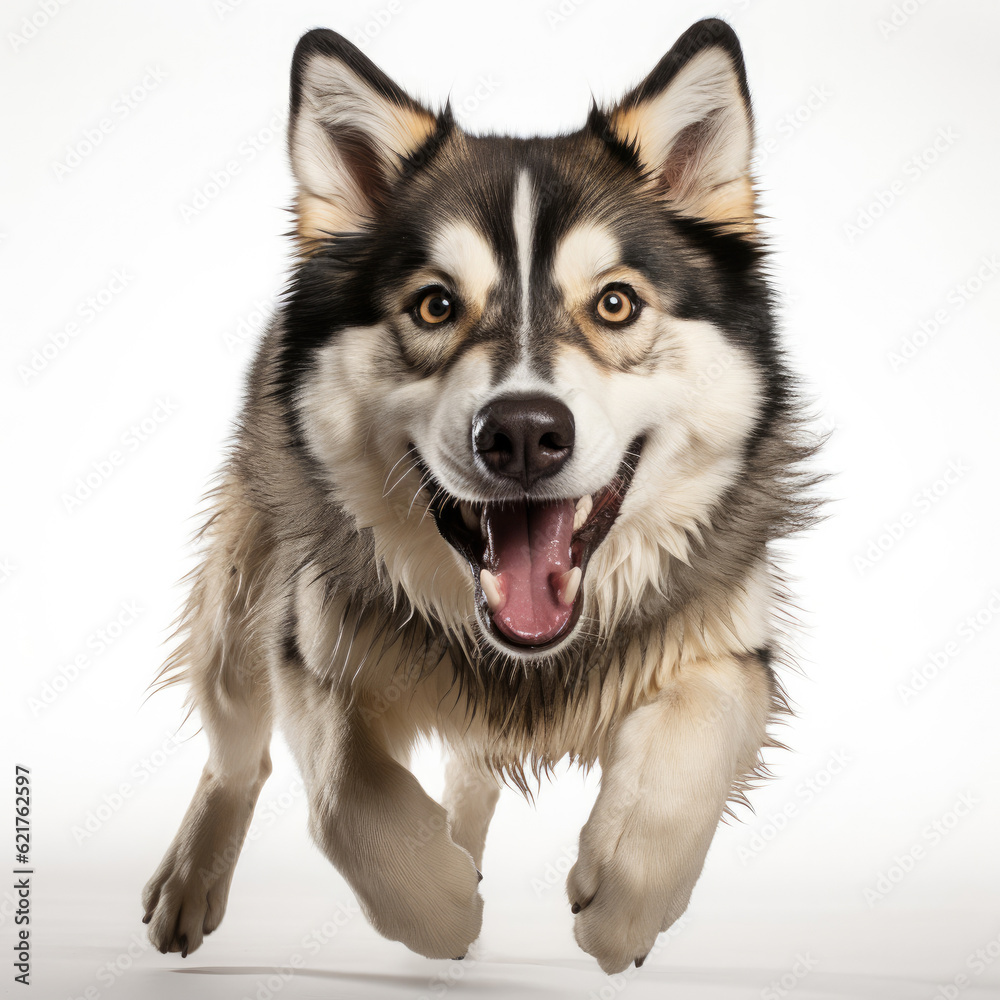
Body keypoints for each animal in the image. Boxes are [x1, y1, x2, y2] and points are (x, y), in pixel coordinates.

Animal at [145, 21, 824, 976]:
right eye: (435, 306)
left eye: (616, 303)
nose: (524, 433)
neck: (524, 660)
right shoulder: (311, 644)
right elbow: (345, 797)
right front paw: (438, 908)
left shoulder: (730, 641)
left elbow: (698, 728)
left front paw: (622, 910)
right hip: (241, 601)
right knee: (237, 755)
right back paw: (192, 883)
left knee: (473, 763)